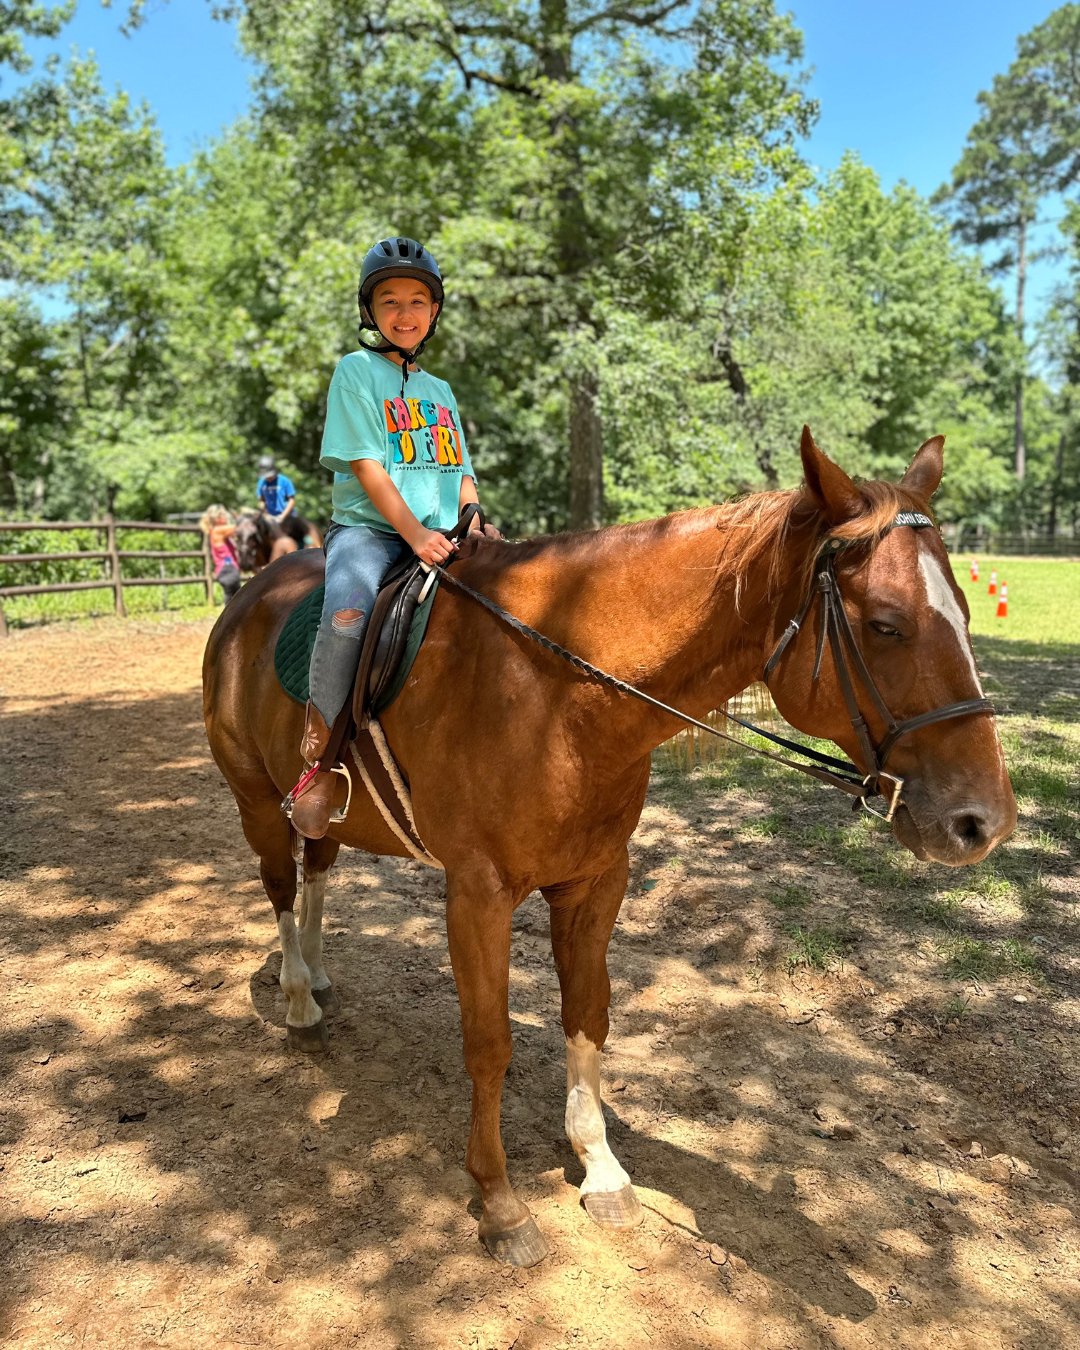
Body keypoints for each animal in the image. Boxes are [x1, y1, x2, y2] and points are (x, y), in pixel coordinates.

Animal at [202, 428, 1015, 1267]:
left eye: (964, 613)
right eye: (886, 623)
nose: (982, 821)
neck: (559, 691)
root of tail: (252, 596)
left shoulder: (597, 881)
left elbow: (588, 1016)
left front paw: (600, 1168)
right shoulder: (477, 893)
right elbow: (488, 1042)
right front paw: (500, 1203)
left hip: (326, 817)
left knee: (318, 872)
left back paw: (320, 975)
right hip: (258, 802)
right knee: (281, 886)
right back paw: (300, 1000)